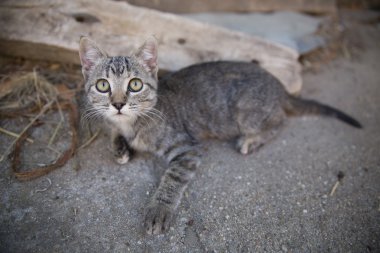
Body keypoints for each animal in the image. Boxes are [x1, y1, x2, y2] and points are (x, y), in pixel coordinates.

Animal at [78, 36, 362, 235]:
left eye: (135, 84)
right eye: (102, 85)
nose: (118, 104)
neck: (134, 123)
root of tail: (280, 86)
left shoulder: (188, 148)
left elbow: (172, 178)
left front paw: (159, 208)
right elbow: (114, 131)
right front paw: (119, 147)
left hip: (245, 114)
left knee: (279, 121)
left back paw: (252, 140)